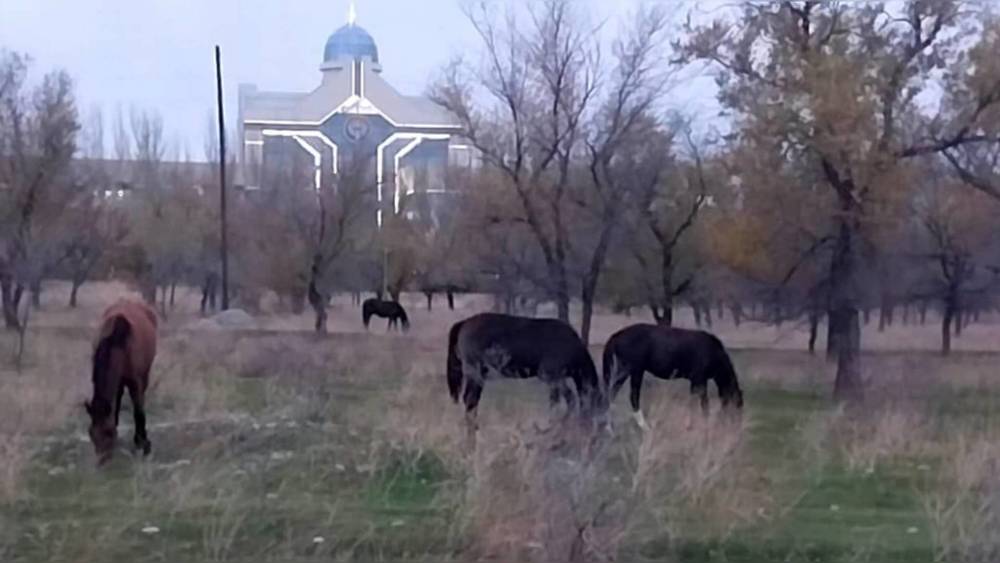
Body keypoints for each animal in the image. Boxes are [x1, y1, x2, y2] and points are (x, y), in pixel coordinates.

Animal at [84, 300, 158, 462]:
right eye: (91, 432)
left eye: (108, 432)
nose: (102, 460)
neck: (118, 343)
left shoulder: (135, 382)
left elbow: (138, 411)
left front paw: (143, 444)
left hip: (145, 373)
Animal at [446, 310, 600, 442]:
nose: (589, 426)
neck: (571, 346)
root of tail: (464, 323)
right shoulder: (550, 375)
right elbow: (568, 399)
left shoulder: (554, 380)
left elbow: (555, 401)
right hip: (475, 373)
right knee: (470, 400)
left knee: (471, 401)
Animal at [600, 324, 744, 430]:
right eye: (737, 404)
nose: (736, 427)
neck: (712, 352)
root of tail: (615, 337)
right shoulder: (699, 380)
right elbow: (702, 402)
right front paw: (702, 424)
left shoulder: (695, 381)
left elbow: (695, 402)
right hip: (632, 372)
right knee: (628, 396)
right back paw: (642, 427)